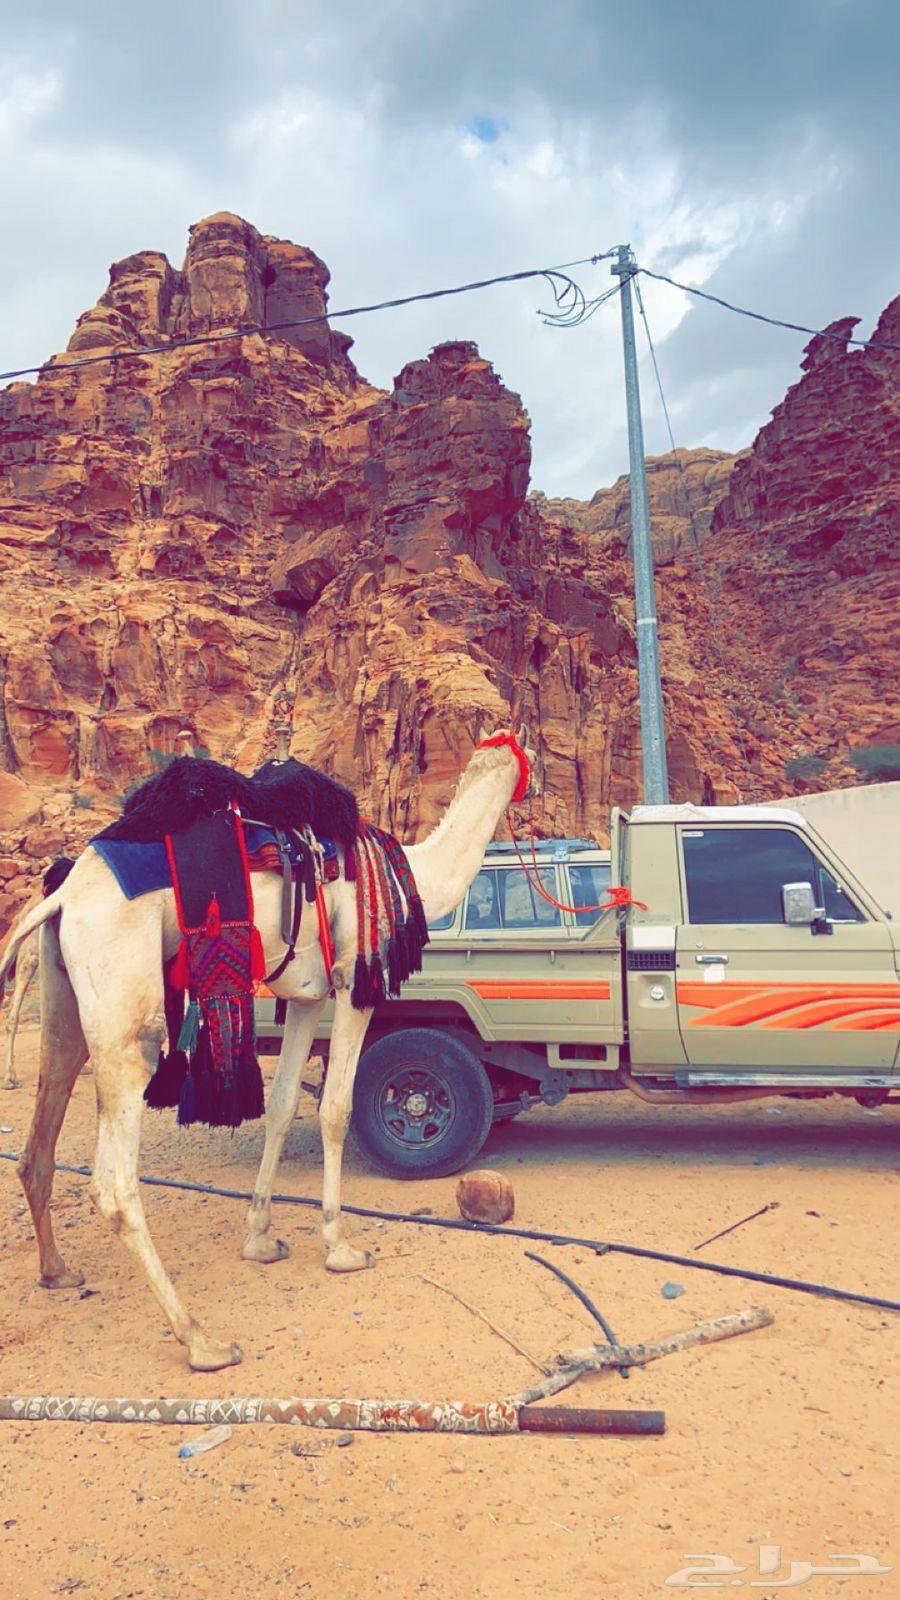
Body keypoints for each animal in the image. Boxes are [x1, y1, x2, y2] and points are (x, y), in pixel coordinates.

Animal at [0, 729, 533, 1371]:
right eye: (526, 759)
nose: (534, 792)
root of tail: (62, 901)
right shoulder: (353, 980)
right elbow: (335, 1109)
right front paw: (339, 1245)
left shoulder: (306, 995)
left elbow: (280, 1108)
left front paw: (260, 1237)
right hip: (126, 1001)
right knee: (114, 1183)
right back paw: (201, 1339)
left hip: (65, 995)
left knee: (41, 1131)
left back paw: (57, 1271)